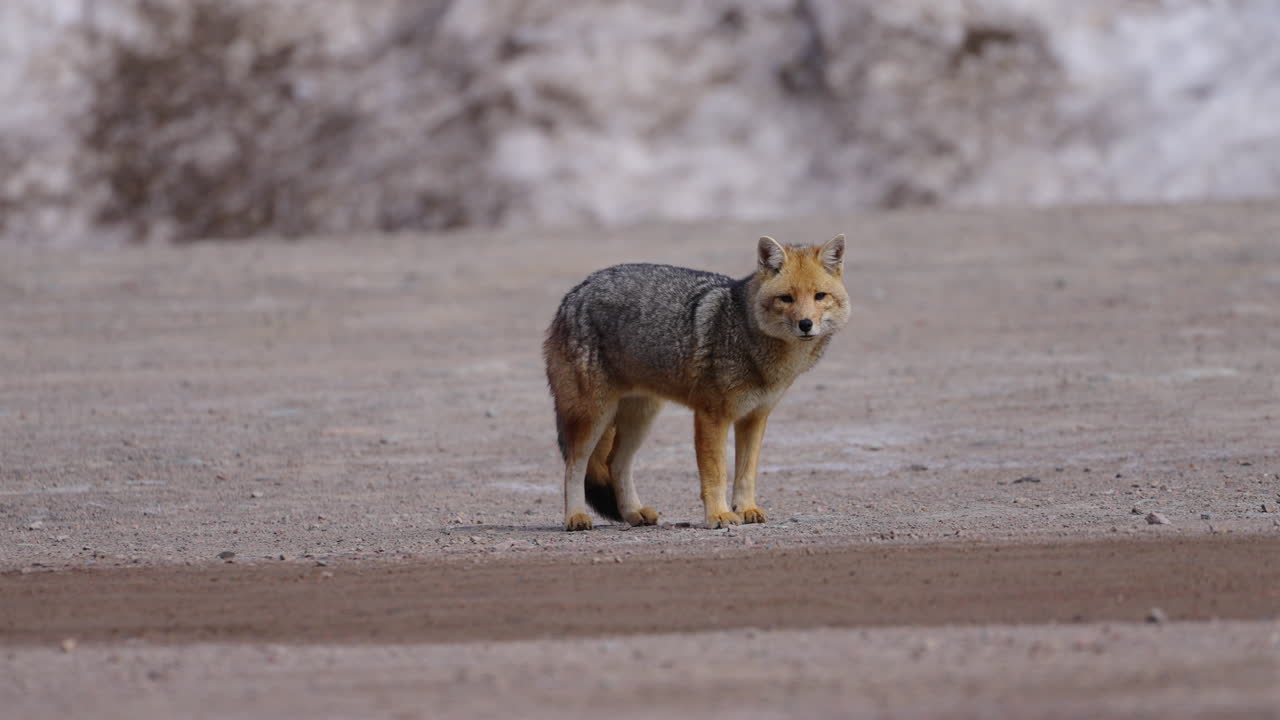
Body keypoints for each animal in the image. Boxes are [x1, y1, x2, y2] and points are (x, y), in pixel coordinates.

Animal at [543, 234, 850, 530]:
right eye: (786, 298)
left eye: (819, 296)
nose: (806, 324)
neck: (747, 335)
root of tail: (576, 291)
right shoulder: (711, 416)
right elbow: (716, 474)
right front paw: (719, 515)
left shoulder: (754, 417)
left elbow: (746, 473)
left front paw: (746, 509)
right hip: (594, 416)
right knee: (575, 466)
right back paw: (576, 517)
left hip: (640, 418)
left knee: (615, 463)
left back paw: (633, 513)